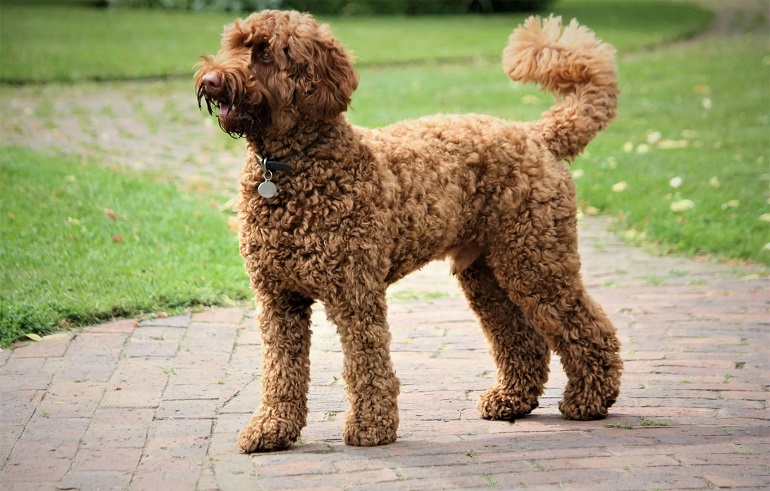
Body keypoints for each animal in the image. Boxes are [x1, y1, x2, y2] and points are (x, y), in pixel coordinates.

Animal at [195, 9, 620, 454]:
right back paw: (512, 399)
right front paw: (272, 427)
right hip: (489, 274)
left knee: (587, 327)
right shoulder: (277, 299)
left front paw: (371, 427)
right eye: (232, 45)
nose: (211, 79)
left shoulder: (355, 293)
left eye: (263, 52)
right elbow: (281, 370)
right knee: (523, 338)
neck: (290, 165)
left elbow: (366, 364)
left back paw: (590, 398)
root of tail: (538, 134)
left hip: (536, 261)